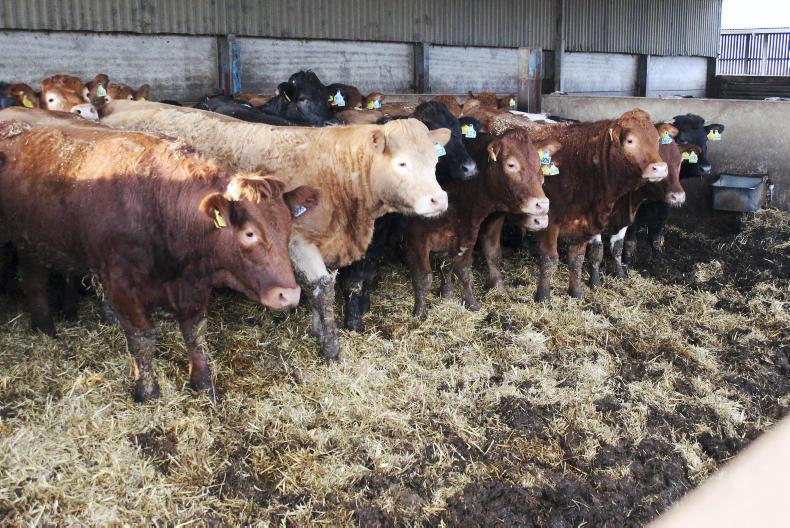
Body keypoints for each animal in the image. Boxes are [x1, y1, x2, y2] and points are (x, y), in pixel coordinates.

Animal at [0, 107, 319, 402]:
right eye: (249, 233)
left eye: (289, 226)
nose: (289, 295)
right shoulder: (121, 285)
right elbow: (142, 339)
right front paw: (147, 391)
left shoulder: (194, 284)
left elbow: (195, 334)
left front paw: (204, 384)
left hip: (34, 240)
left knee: (33, 278)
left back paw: (44, 328)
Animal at [100, 99, 450, 362]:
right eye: (402, 163)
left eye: (435, 162)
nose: (439, 199)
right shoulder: (297, 242)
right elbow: (322, 290)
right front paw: (331, 350)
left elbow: (322, 287)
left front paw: (318, 331)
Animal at [337, 101, 478, 331]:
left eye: (458, 129)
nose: (470, 168)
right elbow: (353, 280)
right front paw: (353, 322)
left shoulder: (380, 241)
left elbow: (367, 274)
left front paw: (364, 306)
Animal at [405, 128, 559, 317]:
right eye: (511, 164)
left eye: (539, 165)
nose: (542, 205)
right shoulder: (416, 235)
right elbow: (423, 276)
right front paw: (420, 313)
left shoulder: (469, 232)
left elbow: (461, 269)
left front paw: (467, 301)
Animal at [478, 109, 668, 301]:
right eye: (630, 140)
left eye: (657, 140)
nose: (660, 168)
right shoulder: (549, 222)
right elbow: (549, 259)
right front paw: (543, 296)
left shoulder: (585, 225)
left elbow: (577, 259)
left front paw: (576, 293)